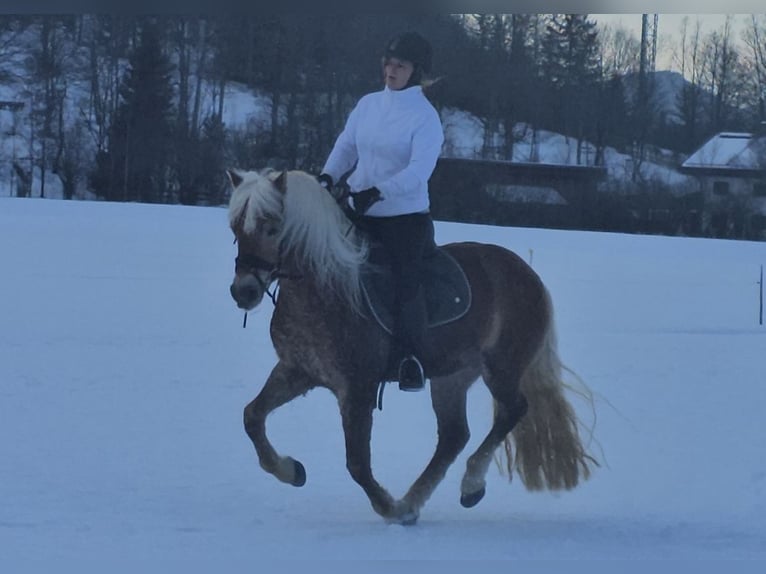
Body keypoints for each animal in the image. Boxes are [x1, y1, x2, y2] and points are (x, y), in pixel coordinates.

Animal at [227, 167, 596, 525]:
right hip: (452, 376)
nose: (244, 291)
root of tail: (528, 274)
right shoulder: (297, 371)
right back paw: (415, 499)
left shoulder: (358, 388)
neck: (328, 288)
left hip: (502, 367)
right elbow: (251, 417)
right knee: (453, 436)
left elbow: (357, 463)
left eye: (272, 228)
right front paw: (291, 471)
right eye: (235, 228)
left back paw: (467, 485)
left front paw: (390, 509)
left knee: (513, 410)